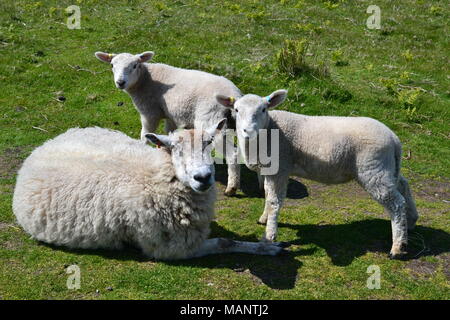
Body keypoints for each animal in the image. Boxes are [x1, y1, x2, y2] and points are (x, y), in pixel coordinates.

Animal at [13, 122, 288, 260]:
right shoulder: (171, 248)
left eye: (209, 142)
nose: (203, 177)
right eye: (174, 149)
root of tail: (40, 149)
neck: (153, 176)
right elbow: (224, 242)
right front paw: (267, 248)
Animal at [94, 51, 243, 196]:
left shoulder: (149, 113)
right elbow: (169, 133)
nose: (120, 82)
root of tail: (234, 96)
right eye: (112, 65)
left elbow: (144, 135)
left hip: (211, 119)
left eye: (135, 65)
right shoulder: (170, 115)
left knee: (233, 154)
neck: (144, 80)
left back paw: (231, 188)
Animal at [216, 89, 420, 258]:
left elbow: (275, 200)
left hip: (373, 169)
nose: (248, 131)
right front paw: (264, 219)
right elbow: (268, 194)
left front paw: (270, 234)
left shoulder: (281, 167)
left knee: (396, 203)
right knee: (404, 186)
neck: (268, 132)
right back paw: (410, 222)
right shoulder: (272, 169)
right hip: (387, 167)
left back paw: (398, 247)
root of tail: (394, 139)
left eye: (264, 109)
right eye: (236, 110)